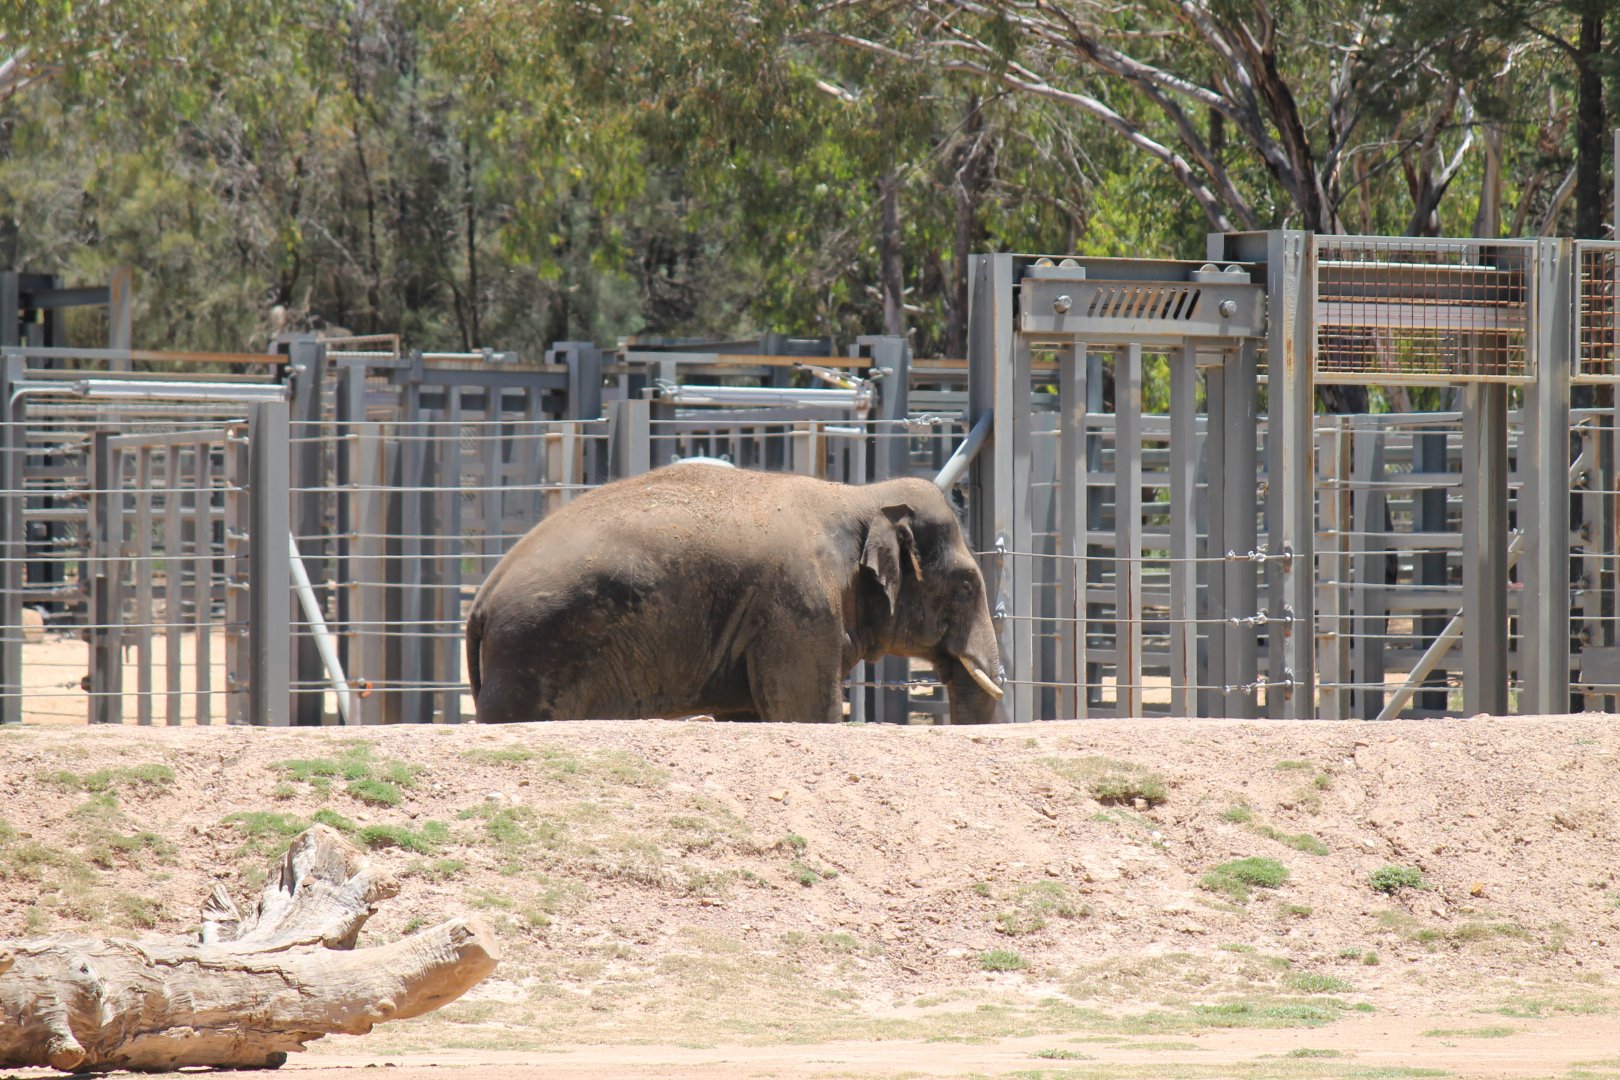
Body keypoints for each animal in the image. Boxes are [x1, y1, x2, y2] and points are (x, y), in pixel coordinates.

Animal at [465, 463, 1006, 724]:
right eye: (965, 587)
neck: (857, 496)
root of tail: (482, 597)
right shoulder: (799, 607)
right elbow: (805, 712)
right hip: (531, 657)